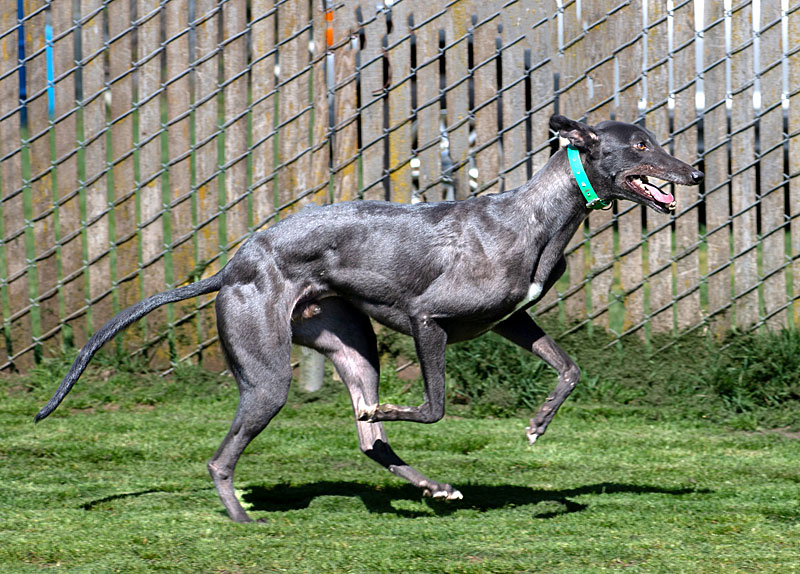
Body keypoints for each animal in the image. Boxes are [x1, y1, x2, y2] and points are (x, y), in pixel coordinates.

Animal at [36, 115, 700, 524]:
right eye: (640, 145)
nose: (694, 172)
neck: (537, 214)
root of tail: (232, 267)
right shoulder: (429, 319)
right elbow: (433, 406)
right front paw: (408, 411)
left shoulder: (512, 319)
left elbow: (569, 369)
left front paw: (538, 425)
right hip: (267, 375)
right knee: (228, 457)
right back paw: (243, 516)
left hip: (353, 345)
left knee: (368, 438)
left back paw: (430, 483)